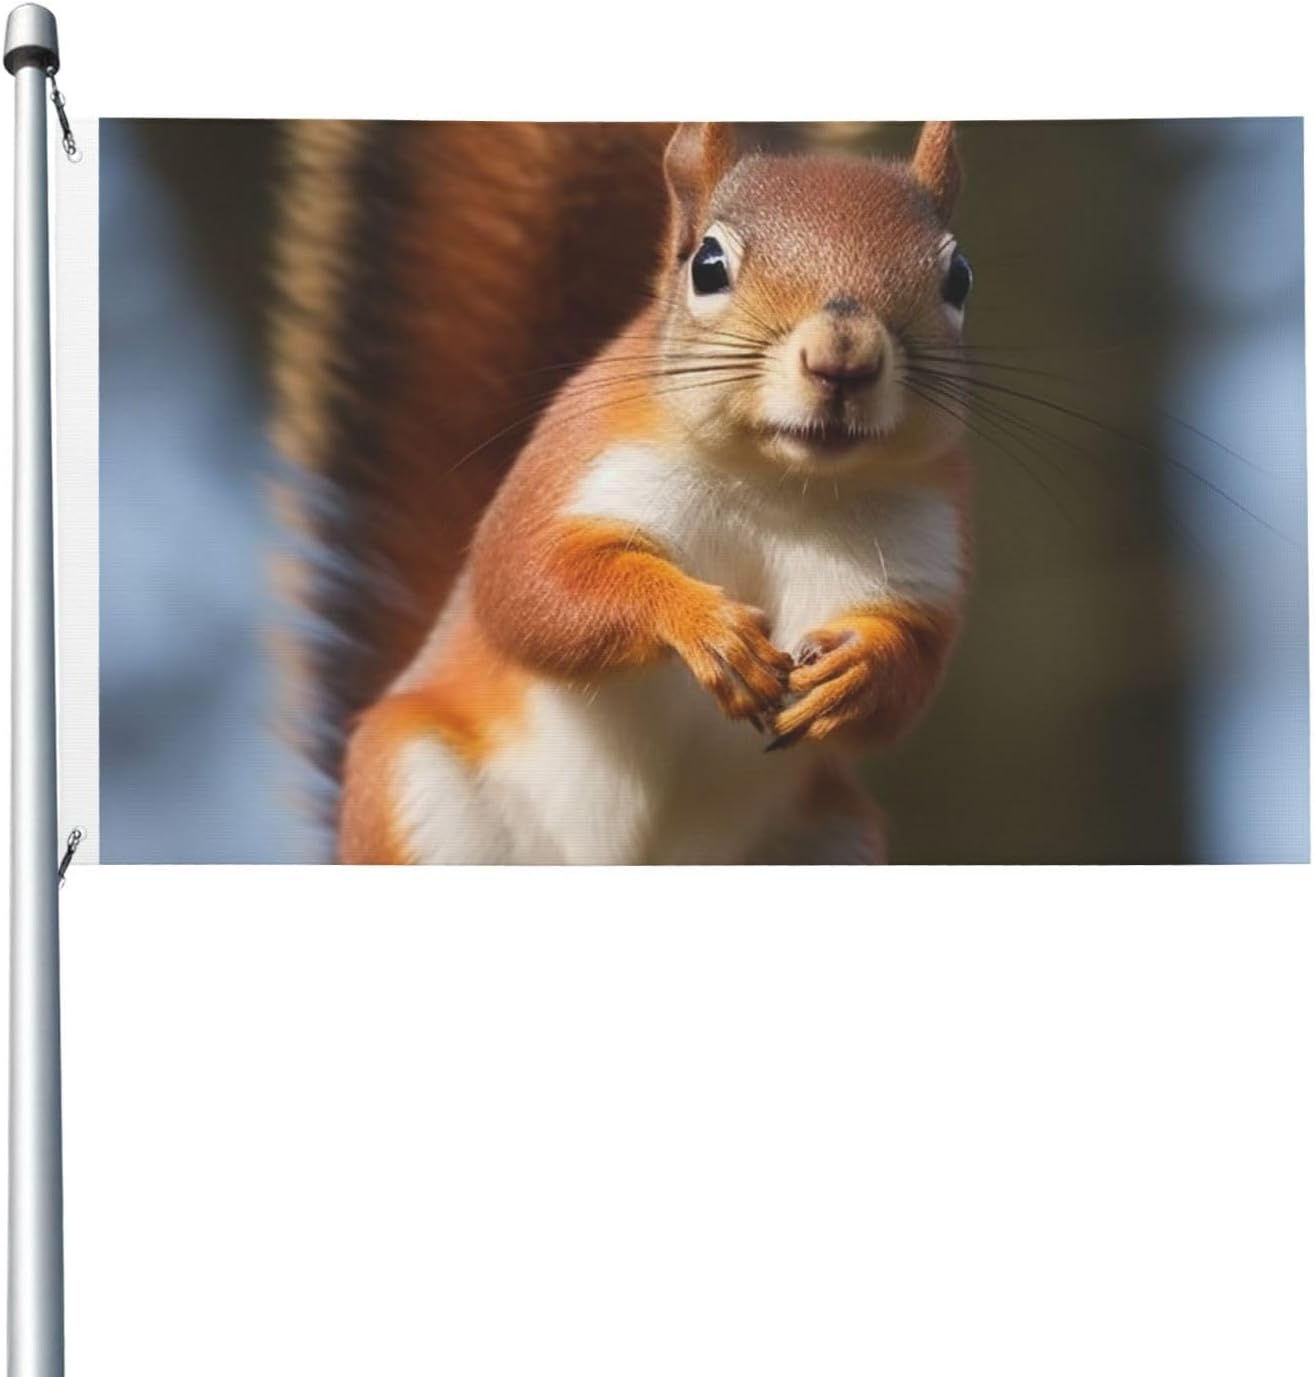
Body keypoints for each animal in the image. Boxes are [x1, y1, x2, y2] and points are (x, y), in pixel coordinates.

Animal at [272, 121, 972, 864]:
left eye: (958, 277)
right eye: (707, 266)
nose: (843, 358)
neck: (781, 485)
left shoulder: (926, 539)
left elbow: (915, 671)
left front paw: (860, 672)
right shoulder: (579, 459)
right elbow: (528, 584)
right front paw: (704, 625)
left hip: (831, 838)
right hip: (416, 787)